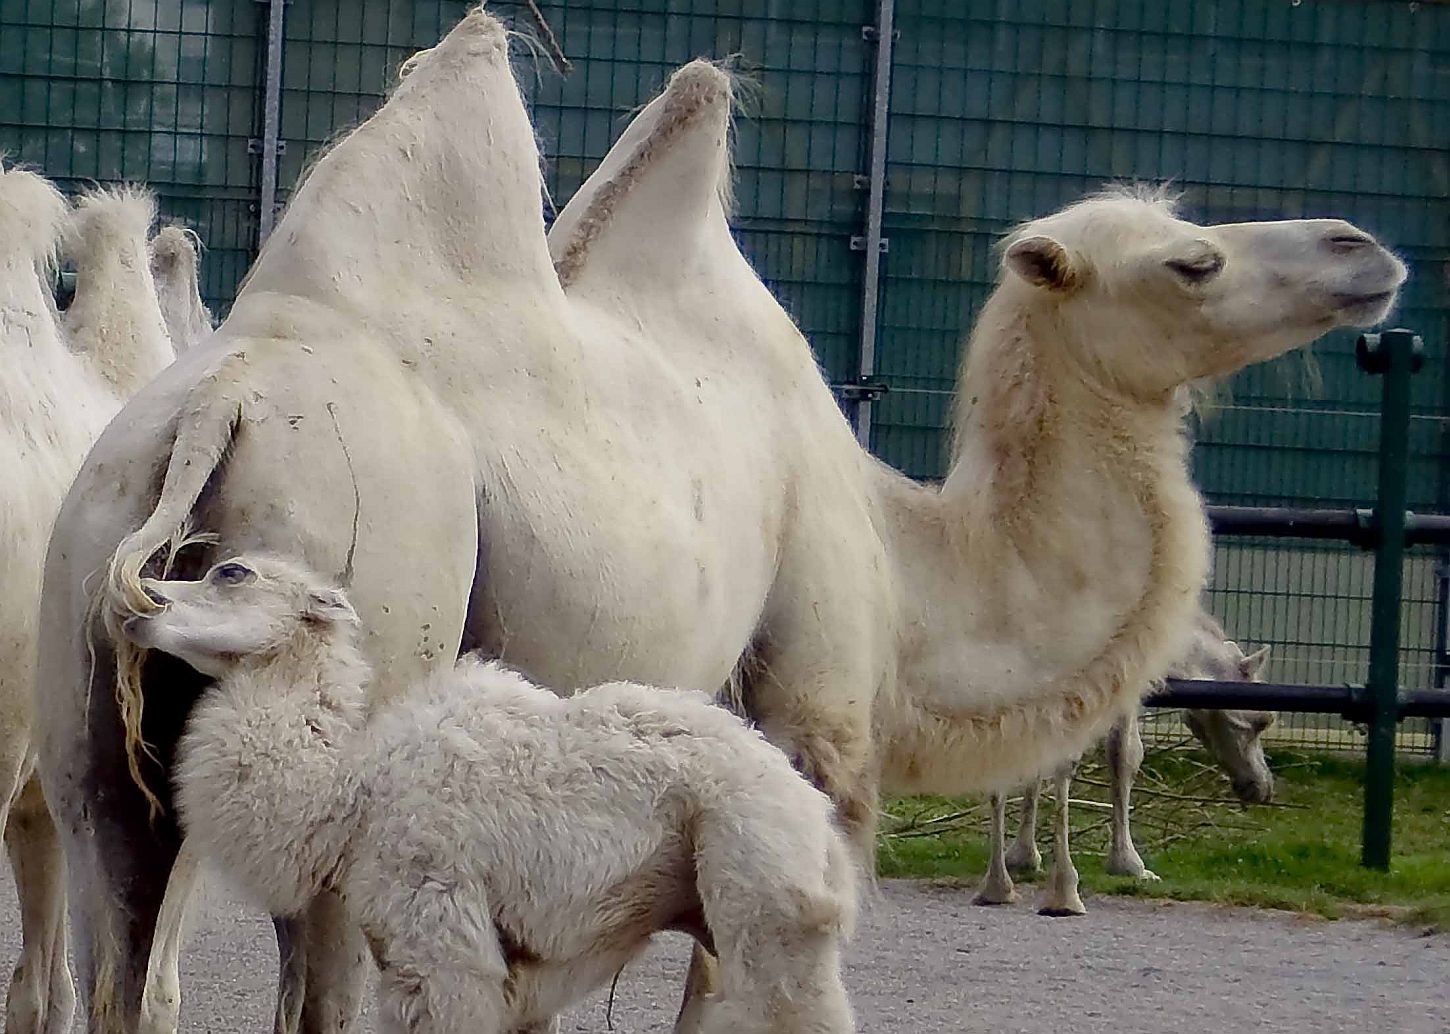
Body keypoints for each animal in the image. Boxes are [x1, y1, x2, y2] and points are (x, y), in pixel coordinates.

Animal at [121, 553, 856, 1034]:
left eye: (231, 573)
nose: (141, 599)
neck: (348, 801)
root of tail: (815, 816)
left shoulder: (443, 941)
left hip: (761, 891)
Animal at [973, 611, 1274, 915]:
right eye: (1262, 720)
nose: (1260, 787)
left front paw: (1022, 857)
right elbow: (1126, 754)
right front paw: (1128, 863)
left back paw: (999, 885)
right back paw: (1058, 891)